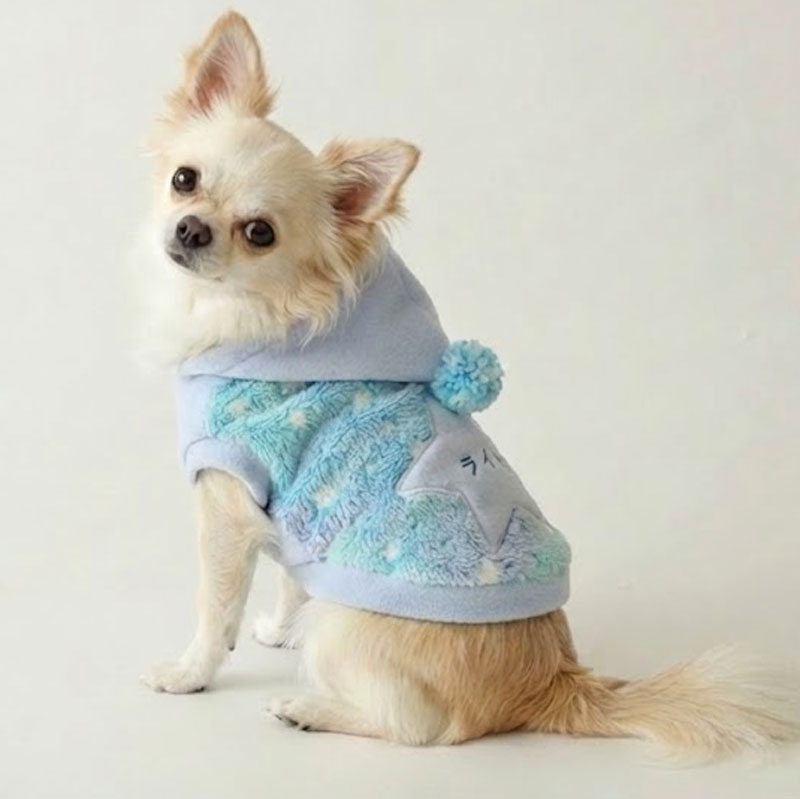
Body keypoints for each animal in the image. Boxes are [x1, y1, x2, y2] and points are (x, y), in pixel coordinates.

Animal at [140, 11, 798, 758]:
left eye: (259, 233)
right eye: (185, 179)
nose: (191, 228)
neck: (256, 319)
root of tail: (551, 682)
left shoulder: (228, 499)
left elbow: (216, 604)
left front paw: (190, 674)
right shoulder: (286, 505)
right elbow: (289, 574)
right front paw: (278, 630)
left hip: (346, 631)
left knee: (418, 728)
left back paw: (308, 707)